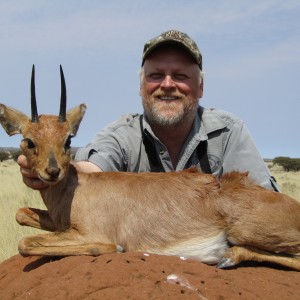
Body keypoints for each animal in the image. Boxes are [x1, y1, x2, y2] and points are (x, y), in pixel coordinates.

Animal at [0, 66, 300, 272]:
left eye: (68, 140)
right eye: (29, 141)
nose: (52, 172)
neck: (77, 189)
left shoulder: (89, 232)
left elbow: (25, 244)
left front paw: (110, 248)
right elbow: (20, 214)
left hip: (248, 232)